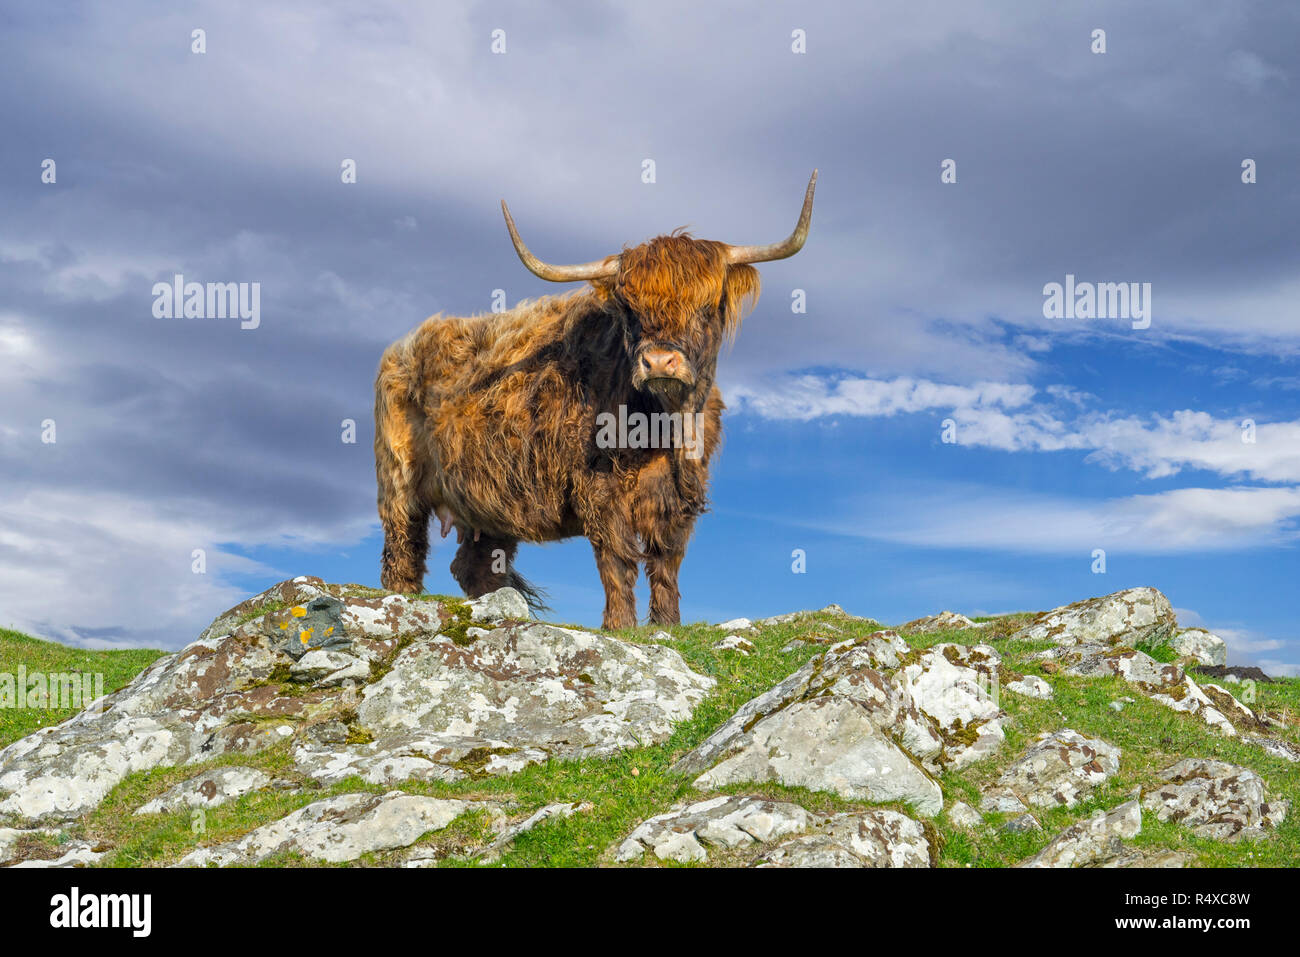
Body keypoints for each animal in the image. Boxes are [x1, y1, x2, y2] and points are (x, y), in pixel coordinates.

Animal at [374, 171, 811, 629]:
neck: (662, 427)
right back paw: (402, 601)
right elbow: (617, 560)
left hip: (488, 500)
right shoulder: (599, 491)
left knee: (474, 564)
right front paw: (620, 625)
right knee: (402, 549)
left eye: (707, 306)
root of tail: (406, 342)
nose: (660, 360)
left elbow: (666, 561)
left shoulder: (680, 495)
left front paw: (667, 624)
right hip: (399, 482)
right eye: (630, 309)